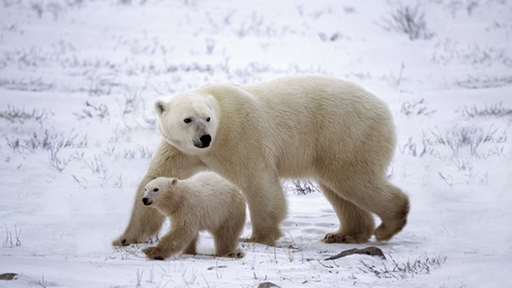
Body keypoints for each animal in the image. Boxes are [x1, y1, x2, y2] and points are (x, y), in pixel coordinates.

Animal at [113, 75, 408, 246]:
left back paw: (388, 225)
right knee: (338, 188)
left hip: (346, 133)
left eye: (207, 118)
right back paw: (344, 233)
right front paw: (126, 238)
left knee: (353, 179)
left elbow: (257, 180)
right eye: (187, 119)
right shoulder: (180, 151)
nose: (205, 137)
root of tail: (384, 109)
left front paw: (258, 236)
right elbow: (156, 179)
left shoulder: (240, 134)